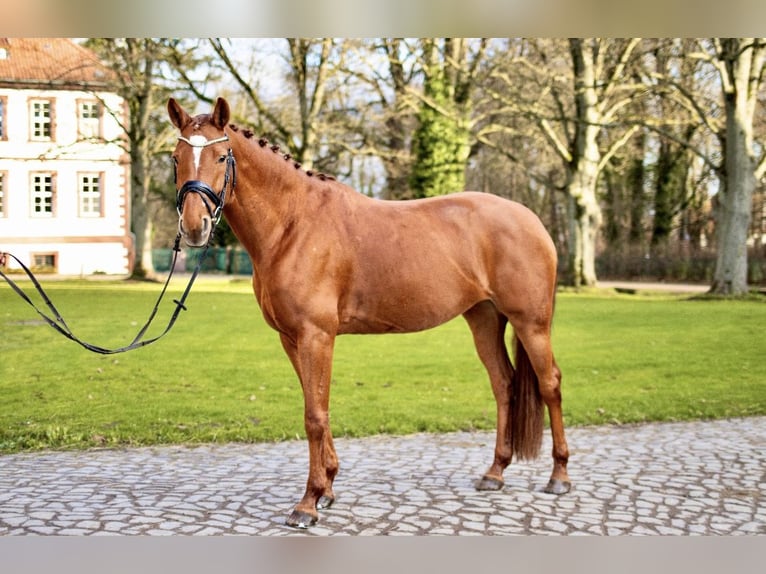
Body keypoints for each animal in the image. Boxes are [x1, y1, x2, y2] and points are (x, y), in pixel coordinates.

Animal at [171, 95, 572, 532]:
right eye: (176, 158)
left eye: (221, 155)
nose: (194, 227)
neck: (293, 225)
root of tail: (531, 220)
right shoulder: (292, 339)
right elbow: (317, 407)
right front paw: (327, 489)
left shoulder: (316, 336)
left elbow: (314, 415)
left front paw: (308, 503)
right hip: (483, 318)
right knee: (504, 384)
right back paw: (495, 473)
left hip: (532, 323)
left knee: (549, 384)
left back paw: (559, 476)